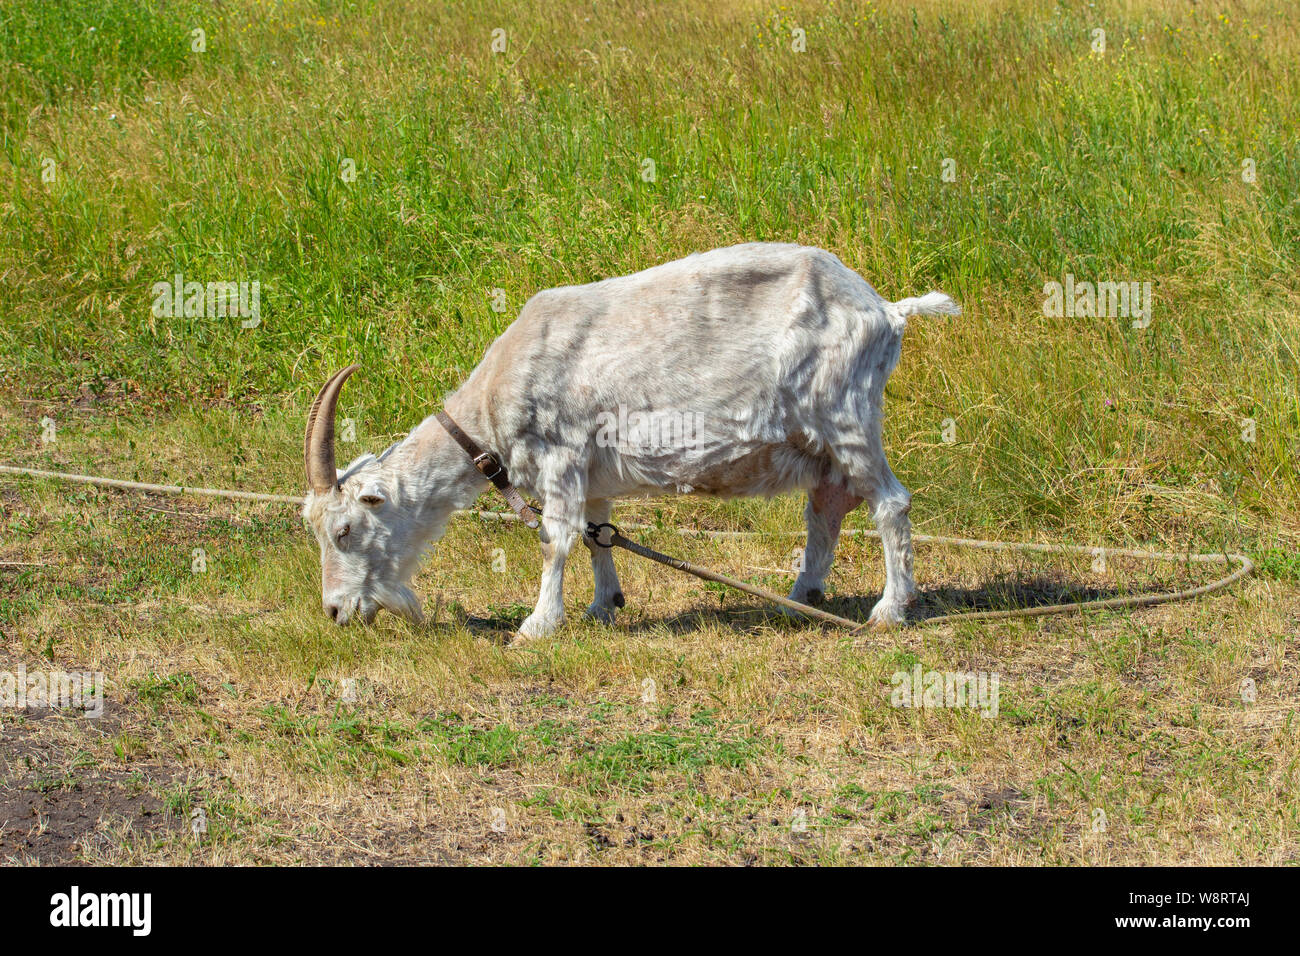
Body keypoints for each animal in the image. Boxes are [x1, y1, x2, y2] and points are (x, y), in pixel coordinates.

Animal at [301, 243, 956, 639]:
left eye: (345, 529)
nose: (334, 610)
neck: (488, 407)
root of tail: (887, 310)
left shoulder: (562, 455)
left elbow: (555, 539)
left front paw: (537, 626)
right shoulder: (593, 473)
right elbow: (598, 534)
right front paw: (602, 607)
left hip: (847, 416)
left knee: (890, 503)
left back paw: (888, 611)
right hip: (821, 441)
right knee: (826, 509)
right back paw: (801, 596)